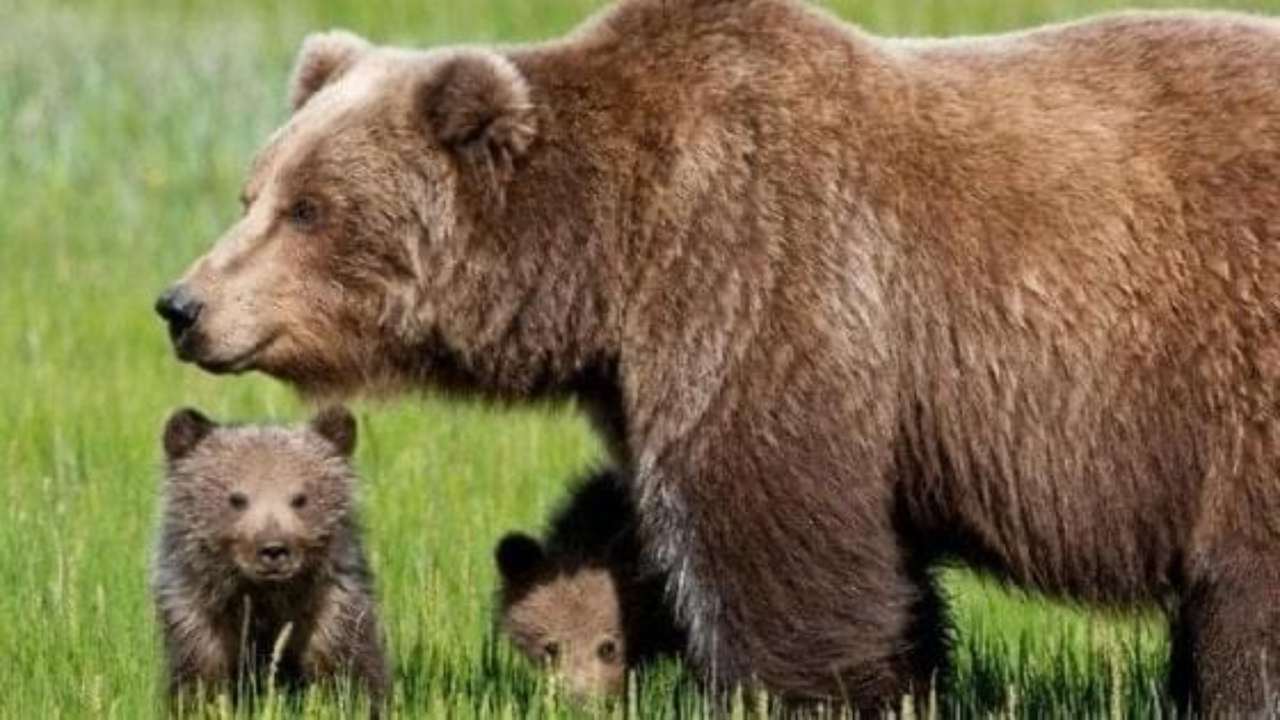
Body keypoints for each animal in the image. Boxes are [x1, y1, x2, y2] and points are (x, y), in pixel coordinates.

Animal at [150, 406, 389, 711]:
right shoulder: (197, 615)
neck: (267, 599)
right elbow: (200, 681)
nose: (273, 549)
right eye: (237, 498)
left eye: (300, 498)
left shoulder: (330, 609)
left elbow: (350, 671)